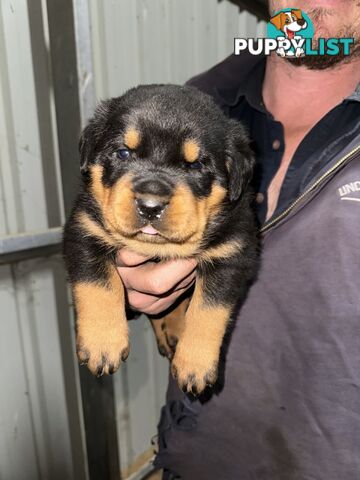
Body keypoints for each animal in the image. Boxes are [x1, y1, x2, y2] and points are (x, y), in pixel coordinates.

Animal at [62, 85, 258, 394]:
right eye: (123, 153)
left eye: (196, 165)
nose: (150, 205)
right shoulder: (84, 230)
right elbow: (99, 283)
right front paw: (102, 343)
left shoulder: (232, 253)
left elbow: (209, 309)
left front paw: (195, 365)